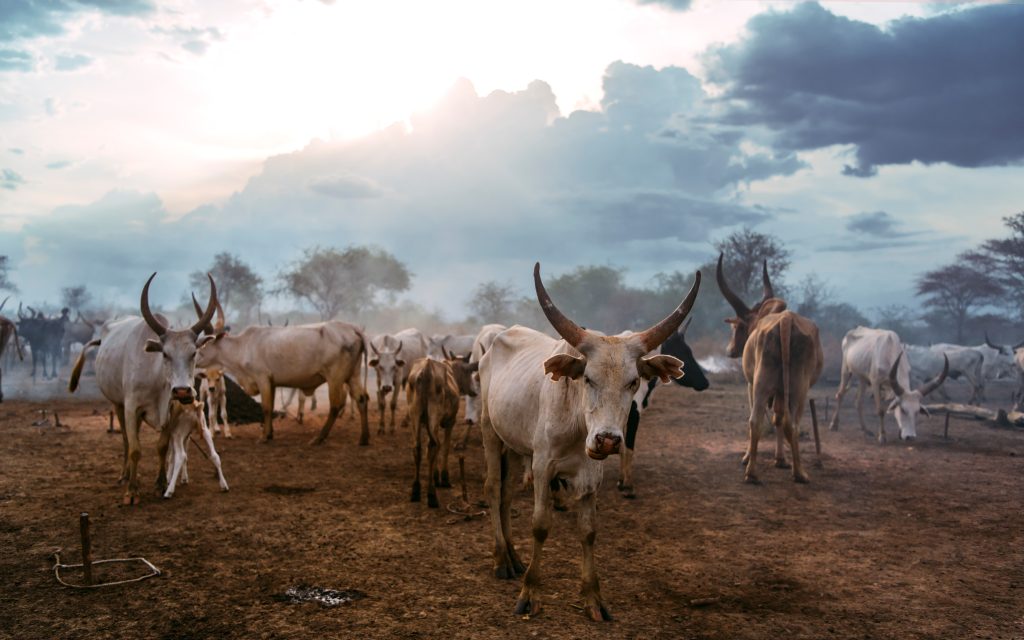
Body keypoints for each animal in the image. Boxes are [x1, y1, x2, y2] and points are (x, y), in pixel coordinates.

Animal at [68, 273, 219, 504]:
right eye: (165, 354)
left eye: (194, 353)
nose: (182, 391)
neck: (157, 380)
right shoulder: (132, 408)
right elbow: (135, 449)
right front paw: (132, 491)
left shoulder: (170, 410)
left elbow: (162, 447)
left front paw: (161, 484)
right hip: (118, 404)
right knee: (125, 440)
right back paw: (124, 476)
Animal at [195, 318, 370, 446]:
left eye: (204, 345)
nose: (193, 359)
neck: (243, 346)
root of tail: (352, 328)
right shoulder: (272, 383)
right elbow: (271, 406)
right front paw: (270, 433)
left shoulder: (263, 379)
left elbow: (266, 408)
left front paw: (264, 437)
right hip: (353, 375)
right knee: (361, 399)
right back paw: (363, 438)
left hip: (335, 378)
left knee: (335, 406)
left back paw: (319, 438)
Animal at [478, 263, 699, 621]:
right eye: (587, 378)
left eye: (634, 381)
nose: (608, 439)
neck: (576, 424)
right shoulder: (542, 466)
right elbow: (540, 525)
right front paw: (530, 593)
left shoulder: (591, 475)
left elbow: (588, 530)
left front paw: (593, 597)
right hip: (490, 432)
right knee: (494, 487)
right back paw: (500, 559)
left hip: (514, 444)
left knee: (507, 494)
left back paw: (513, 555)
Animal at [614, 318, 710, 498]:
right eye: (684, 352)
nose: (705, 382)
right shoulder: (634, 413)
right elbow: (629, 446)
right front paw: (628, 485)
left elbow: (623, 446)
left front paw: (621, 481)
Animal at [717, 254, 823, 484]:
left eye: (736, 327)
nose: (729, 350)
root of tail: (785, 320)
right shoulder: (771, 389)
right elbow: (778, 418)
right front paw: (779, 459)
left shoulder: (752, 385)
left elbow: (775, 418)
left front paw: (769, 458)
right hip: (796, 389)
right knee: (788, 423)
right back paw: (797, 472)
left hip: (764, 385)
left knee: (759, 421)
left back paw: (754, 472)